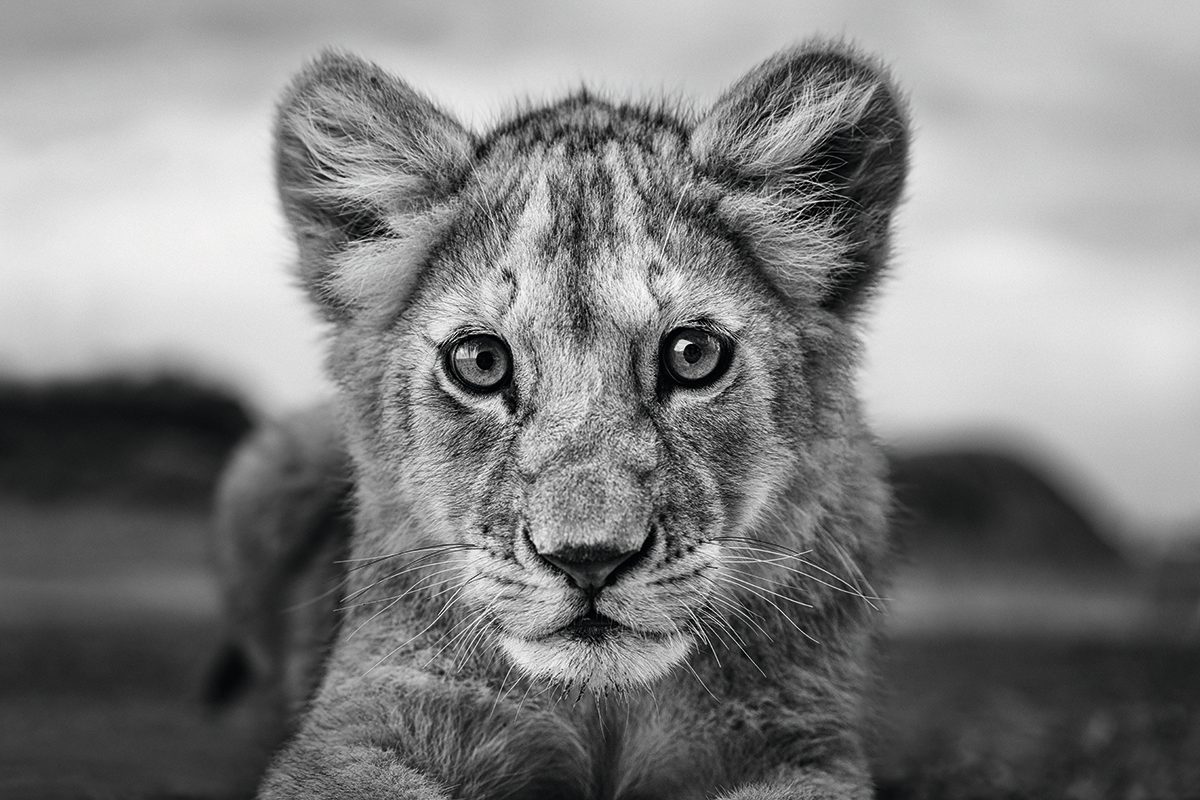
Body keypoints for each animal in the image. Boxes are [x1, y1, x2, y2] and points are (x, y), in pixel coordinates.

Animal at [214, 40, 909, 799]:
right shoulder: (366, 722)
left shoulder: (796, 738)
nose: (589, 561)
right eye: (481, 361)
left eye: (693, 355)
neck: (604, 707)